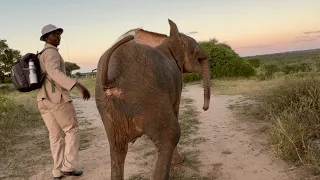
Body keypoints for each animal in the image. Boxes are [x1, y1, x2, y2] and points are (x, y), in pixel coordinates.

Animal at [94, 19, 211, 179]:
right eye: (196, 48)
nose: (204, 108)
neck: (169, 42)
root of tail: (110, 77)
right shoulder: (177, 82)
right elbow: (175, 109)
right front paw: (179, 162)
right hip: (147, 97)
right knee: (170, 135)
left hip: (107, 106)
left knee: (117, 147)